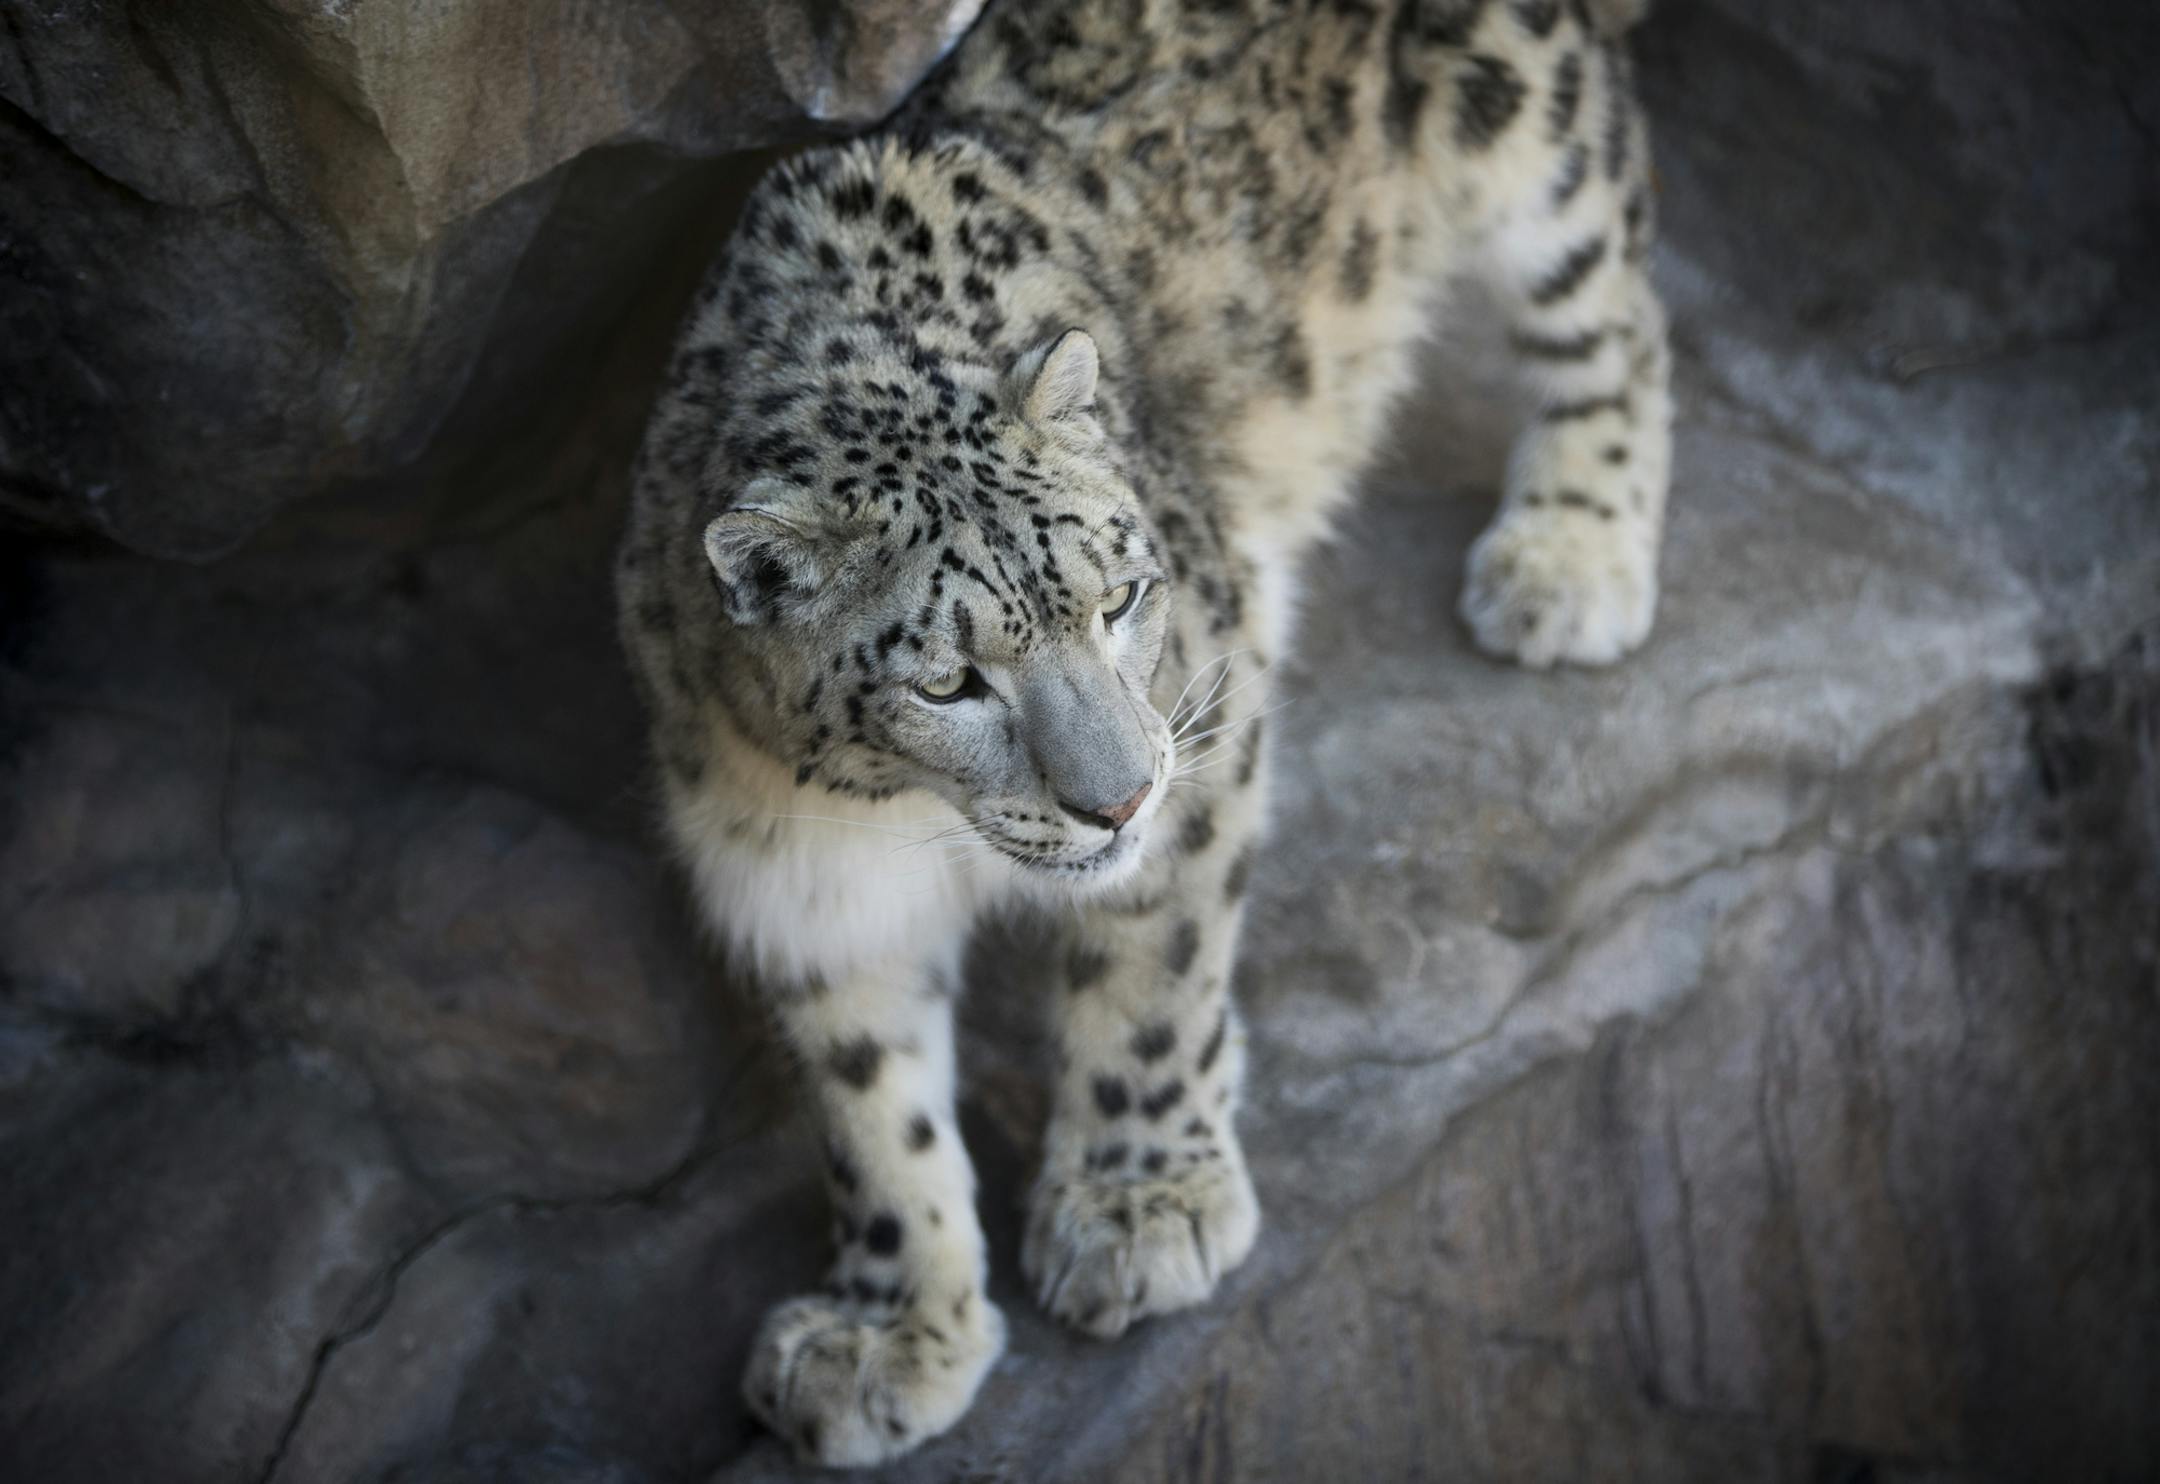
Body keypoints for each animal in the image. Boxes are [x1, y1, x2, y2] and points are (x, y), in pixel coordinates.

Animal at [614, 0, 1670, 1465]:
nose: (1115, 800)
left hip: (1525, 113)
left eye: (1119, 597)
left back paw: (1569, 557)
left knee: (1611, 301)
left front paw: (1139, 1209)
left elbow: (1155, 969)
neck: (902, 817)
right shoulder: (795, 875)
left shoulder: (1206, 717)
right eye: (949, 682)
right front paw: (891, 1330)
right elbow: (870, 1101)